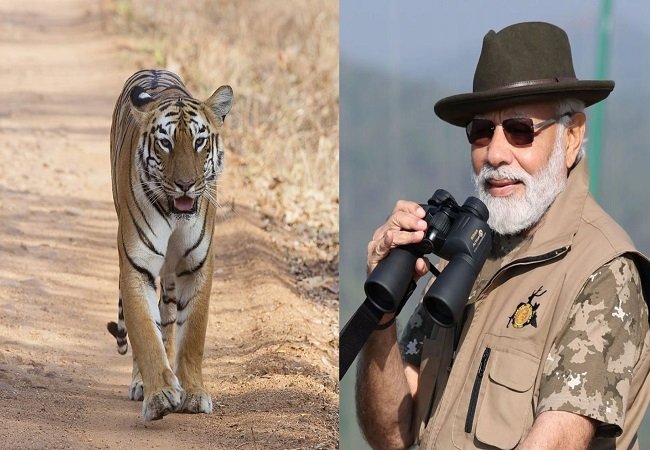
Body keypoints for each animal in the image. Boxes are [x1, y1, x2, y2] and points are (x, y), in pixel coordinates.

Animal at [106, 69, 233, 421]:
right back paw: (142, 384)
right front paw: (160, 395)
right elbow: (145, 333)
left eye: (199, 141)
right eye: (166, 142)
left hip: (173, 277)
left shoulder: (197, 266)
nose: (185, 185)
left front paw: (192, 393)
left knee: (169, 318)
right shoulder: (136, 265)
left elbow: (192, 335)